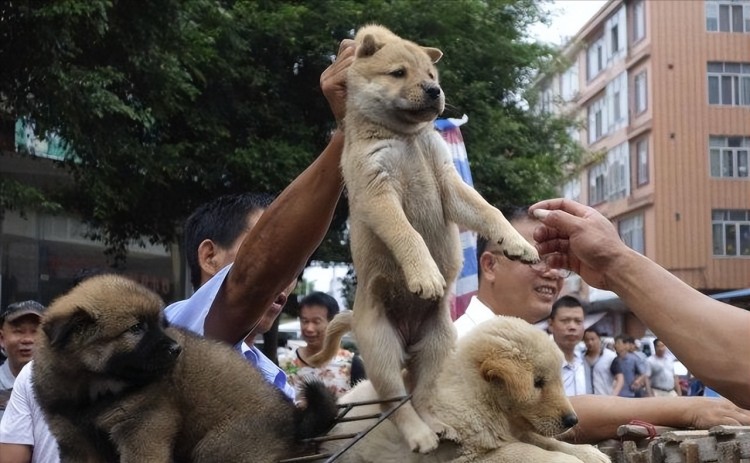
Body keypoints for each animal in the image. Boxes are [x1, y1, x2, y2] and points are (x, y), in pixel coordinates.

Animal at [33, 276, 336, 463]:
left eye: (161, 323)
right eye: (136, 328)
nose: (176, 349)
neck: (94, 387)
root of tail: (294, 416)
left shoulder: (143, 428)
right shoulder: (74, 440)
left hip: (219, 446)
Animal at [324, 318, 612, 462]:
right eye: (538, 383)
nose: (573, 420)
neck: (479, 398)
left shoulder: (516, 429)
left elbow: (548, 442)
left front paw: (589, 453)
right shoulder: (468, 454)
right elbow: (527, 452)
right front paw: (571, 460)